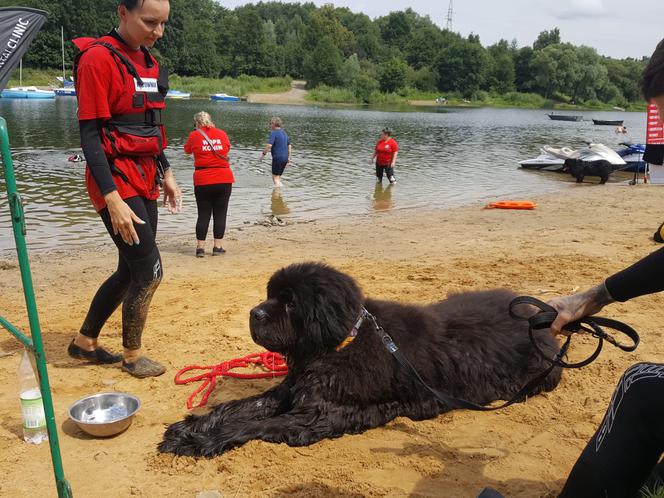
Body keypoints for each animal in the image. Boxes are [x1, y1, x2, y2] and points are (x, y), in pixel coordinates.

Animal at [160, 262, 560, 458]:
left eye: (290, 303)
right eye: (270, 294)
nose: (254, 313)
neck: (337, 346)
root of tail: (538, 318)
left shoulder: (319, 414)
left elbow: (253, 424)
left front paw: (198, 441)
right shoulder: (292, 390)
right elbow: (240, 407)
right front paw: (190, 426)